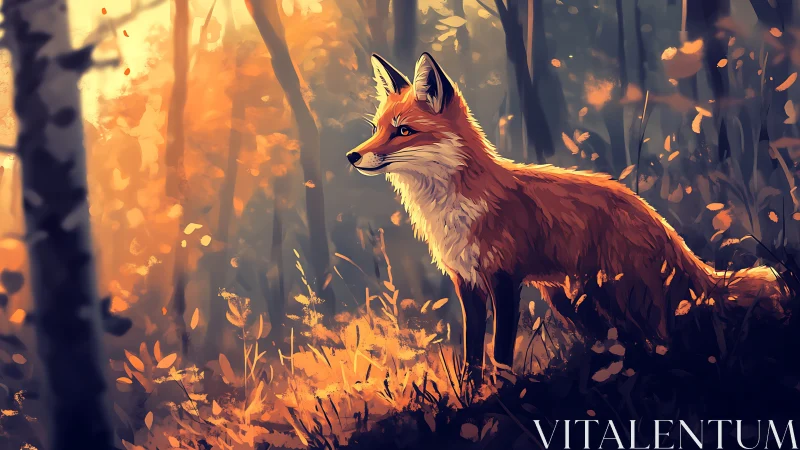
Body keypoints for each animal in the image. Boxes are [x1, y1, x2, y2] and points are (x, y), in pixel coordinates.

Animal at [347, 52, 792, 381]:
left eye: (403, 131)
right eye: (377, 128)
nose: (352, 155)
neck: (456, 207)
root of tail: (650, 211)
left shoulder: (504, 279)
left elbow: (500, 352)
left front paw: (503, 397)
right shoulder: (466, 283)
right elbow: (472, 354)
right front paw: (472, 397)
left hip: (626, 296)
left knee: (665, 339)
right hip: (577, 302)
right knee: (628, 342)